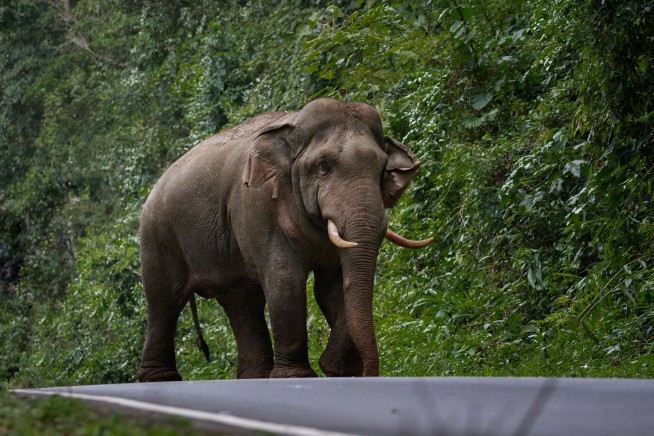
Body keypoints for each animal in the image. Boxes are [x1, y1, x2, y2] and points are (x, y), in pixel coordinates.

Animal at [137, 98, 432, 382]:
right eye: (323, 167)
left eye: (383, 169)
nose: (369, 374)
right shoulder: (257, 207)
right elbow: (285, 280)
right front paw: (298, 375)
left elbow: (333, 287)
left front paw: (337, 370)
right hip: (157, 235)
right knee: (164, 301)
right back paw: (160, 379)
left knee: (242, 303)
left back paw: (254, 377)